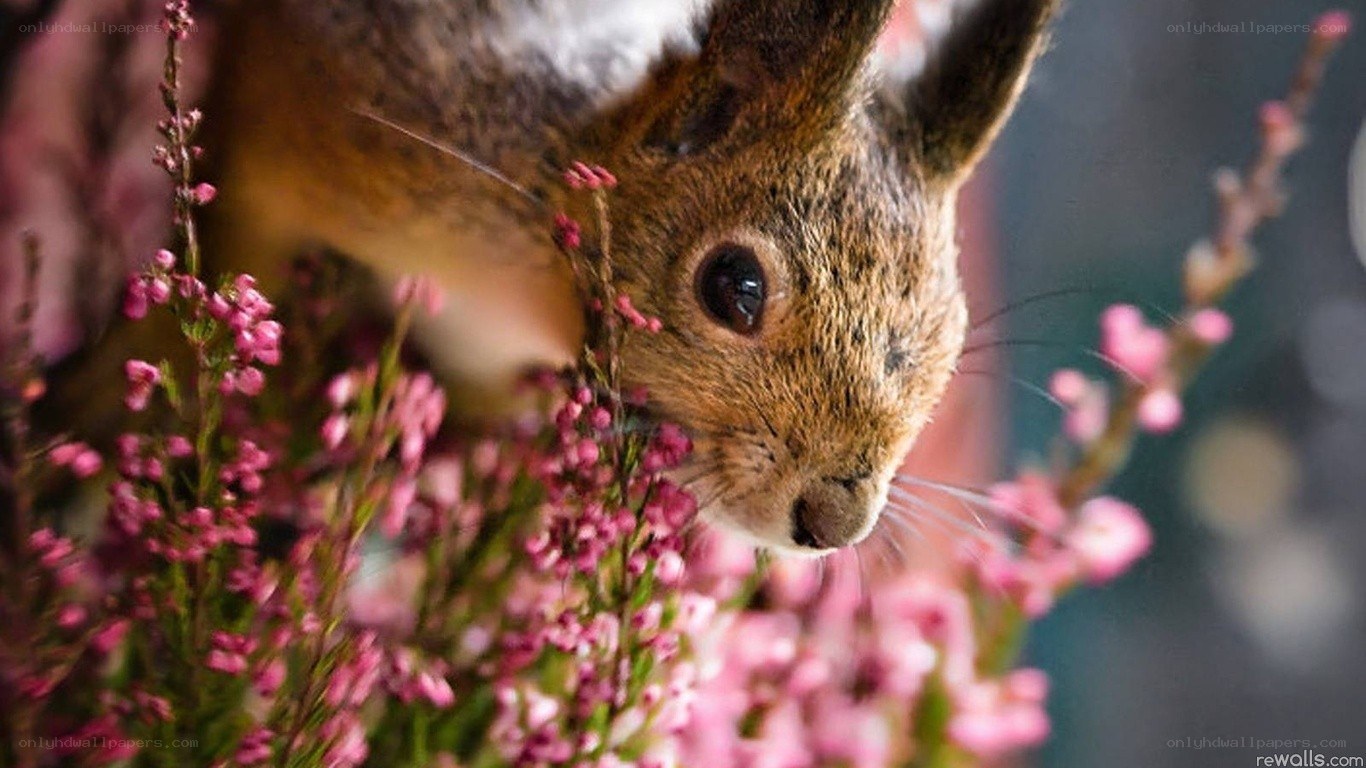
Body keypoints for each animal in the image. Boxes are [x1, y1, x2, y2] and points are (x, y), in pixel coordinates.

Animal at [52, 0, 1062, 555]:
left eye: (951, 335)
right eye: (734, 286)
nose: (834, 522)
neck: (527, 294)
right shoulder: (298, 135)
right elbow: (235, 242)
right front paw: (134, 377)